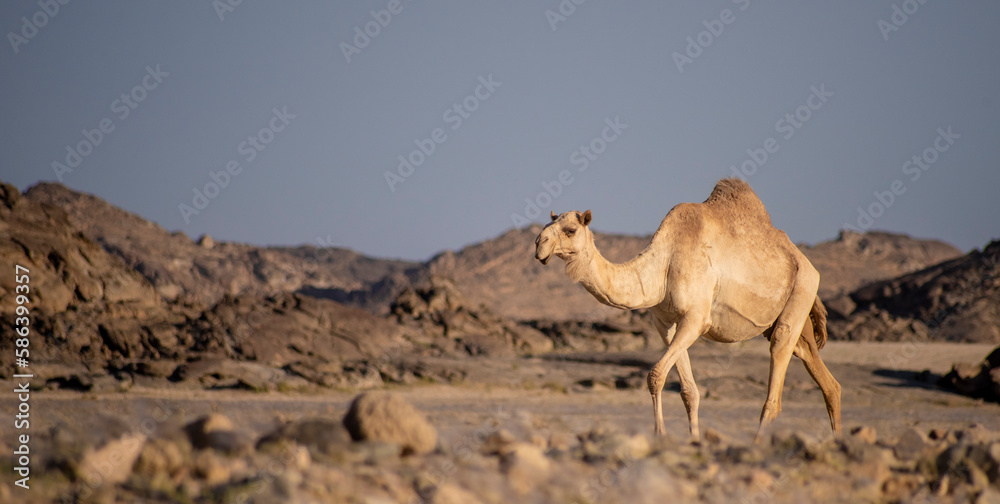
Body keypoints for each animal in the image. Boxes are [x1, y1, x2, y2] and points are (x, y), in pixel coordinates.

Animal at [536, 177, 840, 440]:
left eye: (570, 230)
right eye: (547, 226)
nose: (539, 244)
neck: (663, 265)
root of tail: (807, 263)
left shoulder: (696, 318)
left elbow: (656, 375)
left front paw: (660, 434)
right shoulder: (665, 323)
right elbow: (688, 391)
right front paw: (692, 439)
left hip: (802, 288)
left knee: (777, 372)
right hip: (794, 316)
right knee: (824, 377)